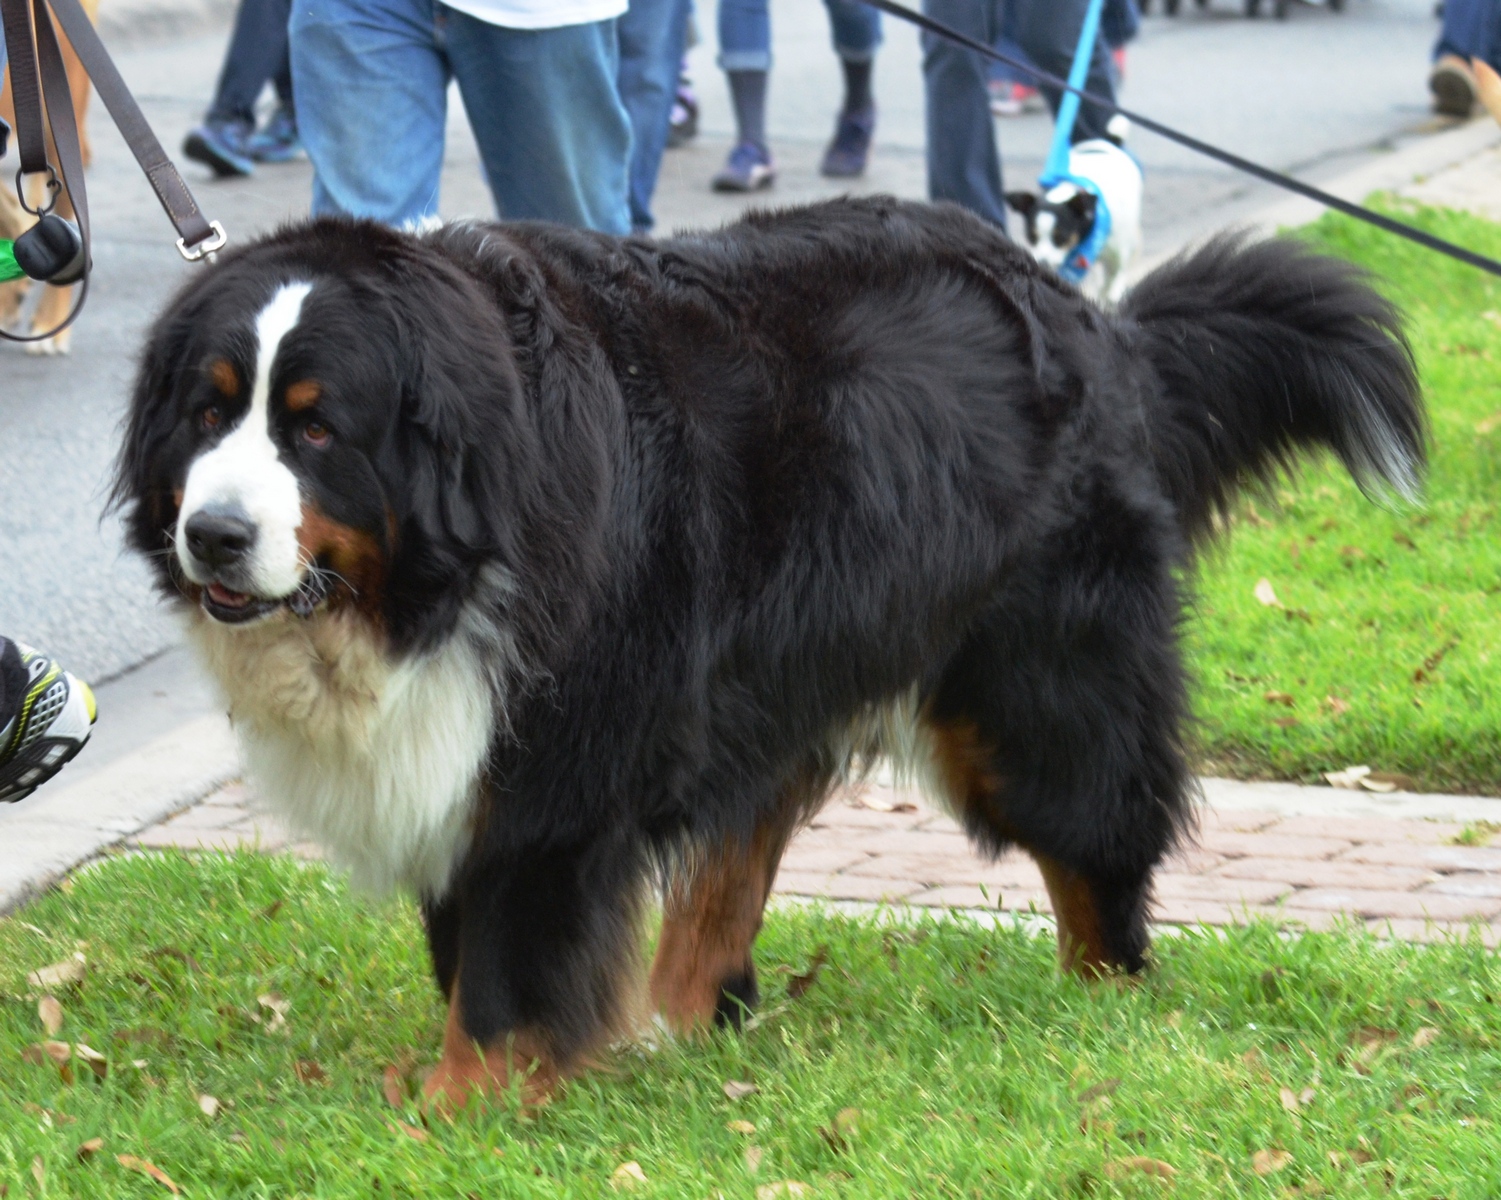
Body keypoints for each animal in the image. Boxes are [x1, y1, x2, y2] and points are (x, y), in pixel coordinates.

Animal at [113, 197, 1422, 1109]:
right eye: (207, 411)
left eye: (316, 429)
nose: (212, 534)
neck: (417, 585)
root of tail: (1091, 318)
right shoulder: (462, 747)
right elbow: (472, 932)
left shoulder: (557, 758)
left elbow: (507, 958)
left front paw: (465, 1103)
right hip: (773, 672)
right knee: (740, 845)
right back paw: (681, 1015)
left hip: (1033, 679)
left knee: (1092, 830)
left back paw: (1106, 996)